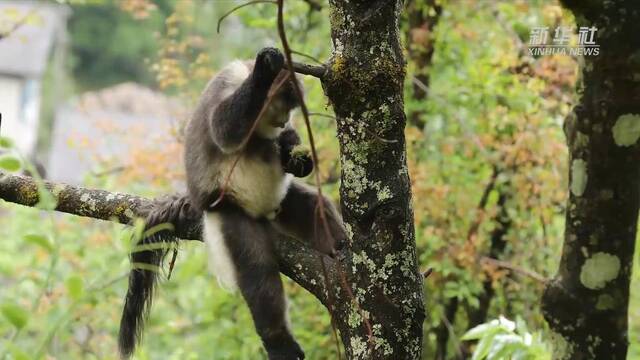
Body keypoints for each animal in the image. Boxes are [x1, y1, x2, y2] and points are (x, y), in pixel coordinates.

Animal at [119, 47, 344, 360]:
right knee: (258, 275)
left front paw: (297, 158)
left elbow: (289, 153)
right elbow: (224, 129)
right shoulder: (228, 83)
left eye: (290, 110)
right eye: (282, 107)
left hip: (281, 205)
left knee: (313, 207)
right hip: (231, 215)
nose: (283, 121)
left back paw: (341, 250)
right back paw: (279, 342)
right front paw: (264, 70)